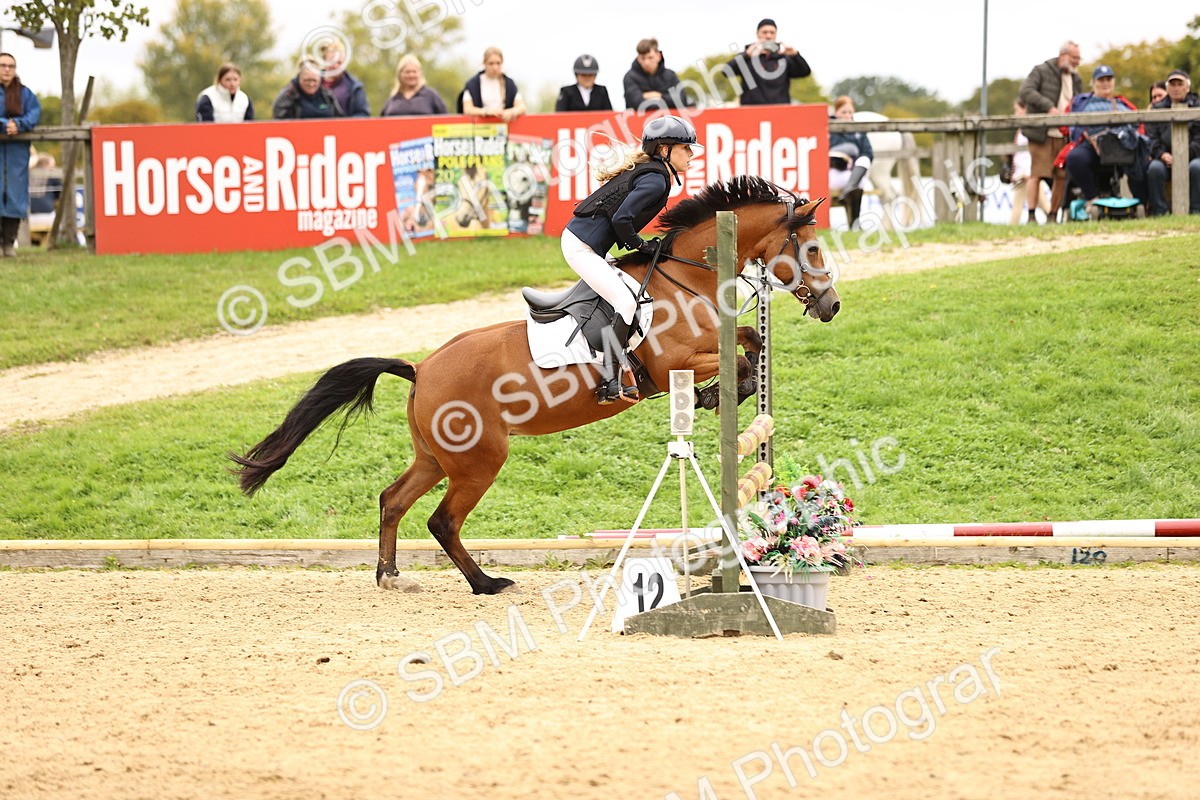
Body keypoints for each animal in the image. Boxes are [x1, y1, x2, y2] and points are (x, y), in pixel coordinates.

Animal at [229, 176, 841, 595]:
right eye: (811, 249)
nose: (832, 305)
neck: (685, 275)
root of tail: (421, 368)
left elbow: (748, 340)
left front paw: (728, 388)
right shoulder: (672, 362)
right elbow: (734, 356)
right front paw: (722, 392)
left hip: (435, 457)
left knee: (393, 500)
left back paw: (391, 576)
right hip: (479, 460)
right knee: (441, 520)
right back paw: (486, 584)